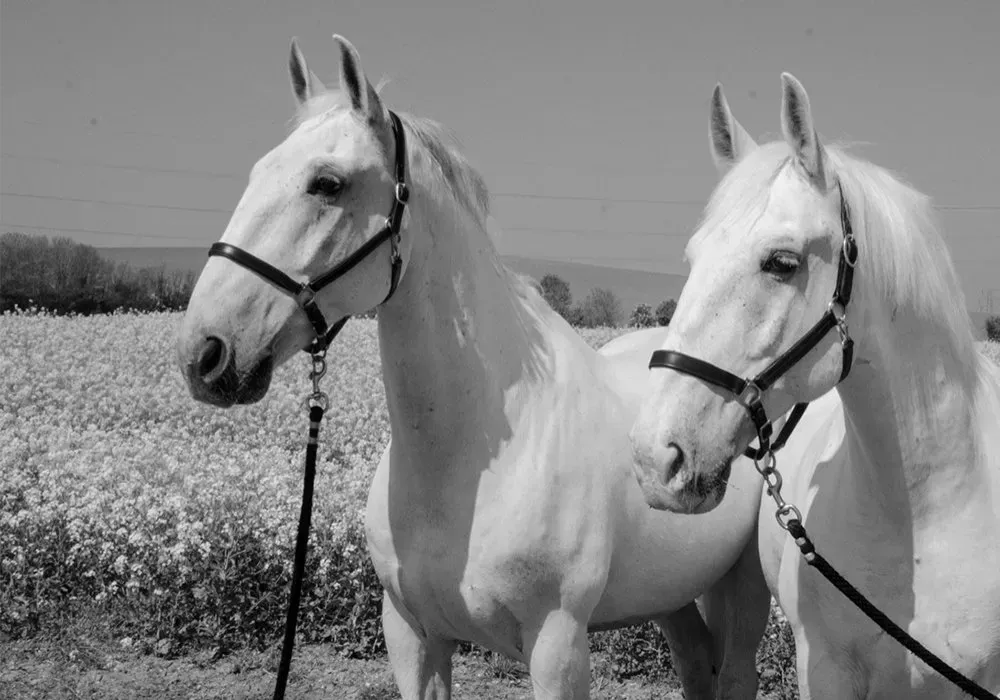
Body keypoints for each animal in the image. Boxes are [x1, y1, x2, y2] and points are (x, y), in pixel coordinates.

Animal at [175, 34, 773, 699]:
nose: (206, 352)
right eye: (258, 170)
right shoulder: (413, 637)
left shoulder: (558, 647)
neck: (469, 456)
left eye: (326, 182)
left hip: (742, 592)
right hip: (671, 595)